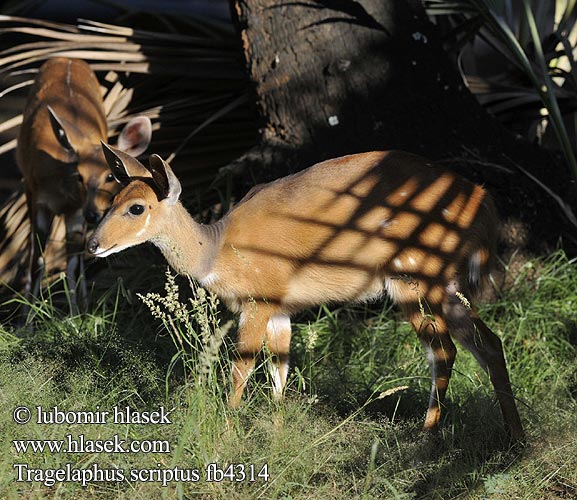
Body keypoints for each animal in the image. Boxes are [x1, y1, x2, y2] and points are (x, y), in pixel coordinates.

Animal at [17, 57, 152, 308]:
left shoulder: (76, 212)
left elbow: (72, 263)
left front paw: (77, 313)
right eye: (79, 175)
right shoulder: (37, 197)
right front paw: (29, 317)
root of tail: (66, 58)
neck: (63, 193)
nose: (93, 214)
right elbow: (38, 260)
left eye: (110, 176)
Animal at [88, 146, 524, 442]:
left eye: (136, 208)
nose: (93, 244)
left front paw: (227, 435)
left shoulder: (259, 300)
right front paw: (278, 433)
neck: (216, 250)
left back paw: (426, 439)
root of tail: (483, 206)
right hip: (445, 286)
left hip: (413, 277)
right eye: (110, 201)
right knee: (489, 342)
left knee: (443, 350)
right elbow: (279, 370)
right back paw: (514, 438)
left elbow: (241, 366)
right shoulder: (281, 310)